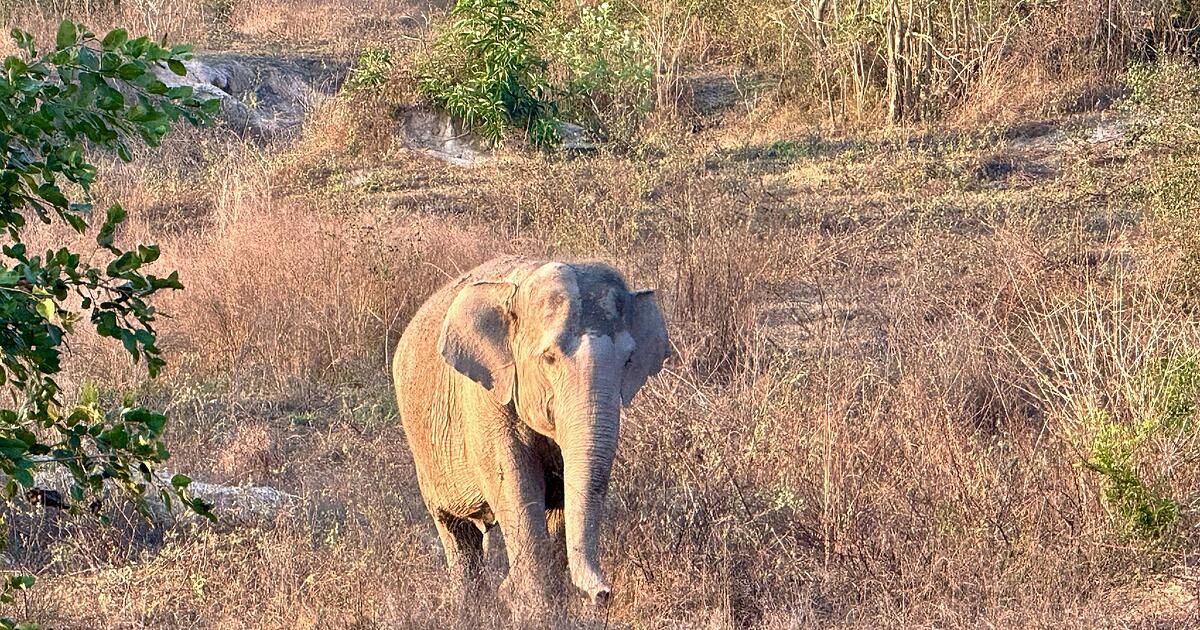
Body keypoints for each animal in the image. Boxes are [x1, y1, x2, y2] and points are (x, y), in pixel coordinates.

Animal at [392, 256, 669, 611]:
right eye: (549, 358)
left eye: (628, 360)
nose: (603, 595)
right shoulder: (486, 400)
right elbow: (516, 484)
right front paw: (530, 605)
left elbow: (563, 499)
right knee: (455, 531)